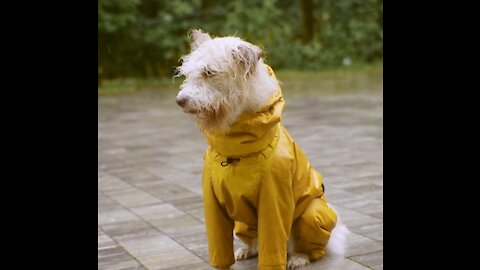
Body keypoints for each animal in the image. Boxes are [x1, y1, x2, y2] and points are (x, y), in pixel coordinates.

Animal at [174, 28, 346, 268]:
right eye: (187, 73)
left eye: (209, 72)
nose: (180, 100)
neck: (237, 148)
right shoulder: (212, 203)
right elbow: (220, 245)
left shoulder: (273, 201)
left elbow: (271, 243)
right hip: (243, 223)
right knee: (254, 239)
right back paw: (248, 249)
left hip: (312, 214)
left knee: (308, 247)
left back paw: (299, 257)